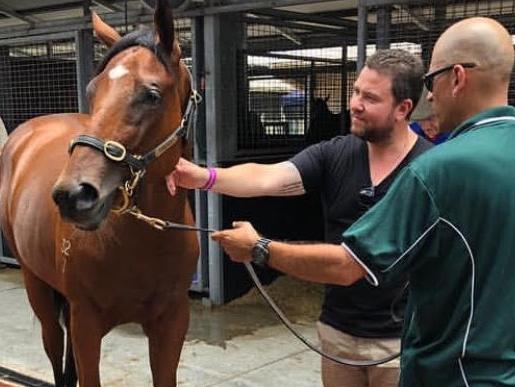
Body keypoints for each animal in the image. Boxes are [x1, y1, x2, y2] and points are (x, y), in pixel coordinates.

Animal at [0, 1, 200, 386]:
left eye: (151, 94)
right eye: (92, 92)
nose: (73, 195)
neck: (142, 242)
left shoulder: (172, 323)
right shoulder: (86, 324)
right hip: (38, 287)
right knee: (55, 351)